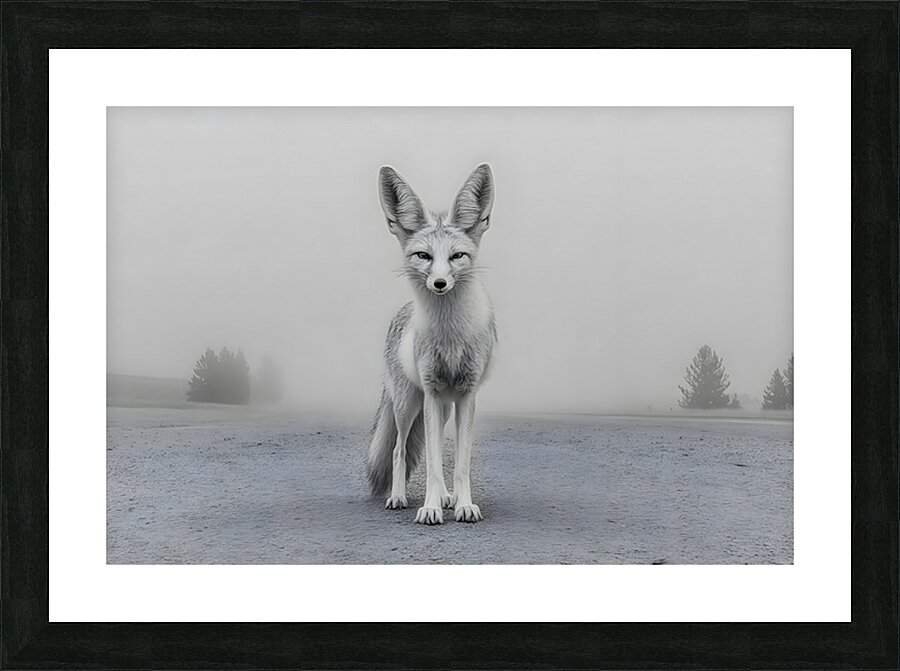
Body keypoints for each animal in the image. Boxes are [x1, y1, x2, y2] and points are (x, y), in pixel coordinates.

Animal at [366, 163, 497, 525]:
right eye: (423, 256)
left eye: (456, 256)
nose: (439, 283)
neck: (449, 335)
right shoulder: (432, 390)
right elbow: (434, 465)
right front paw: (430, 508)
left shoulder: (466, 395)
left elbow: (460, 464)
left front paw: (463, 504)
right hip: (409, 404)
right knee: (398, 450)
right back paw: (398, 497)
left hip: (442, 408)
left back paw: (447, 497)